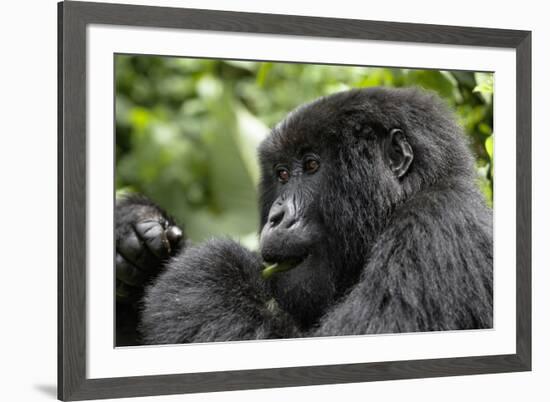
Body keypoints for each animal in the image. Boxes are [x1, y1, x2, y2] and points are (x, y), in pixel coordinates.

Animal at [114, 87, 494, 346]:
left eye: (311, 165)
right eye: (282, 174)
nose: (276, 217)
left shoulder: (435, 228)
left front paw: (208, 267)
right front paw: (133, 229)